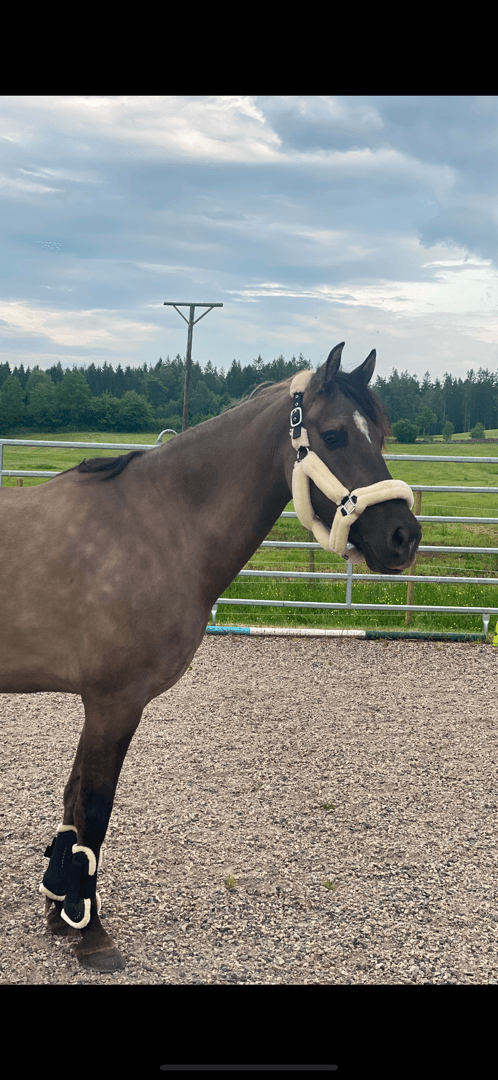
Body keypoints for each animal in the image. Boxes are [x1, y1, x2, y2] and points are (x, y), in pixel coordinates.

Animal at [0, 343, 419, 972]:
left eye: (381, 436)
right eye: (335, 435)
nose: (403, 536)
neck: (156, 524)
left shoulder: (99, 704)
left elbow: (74, 803)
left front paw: (59, 910)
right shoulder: (113, 703)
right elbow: (92, 810)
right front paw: (90, 931)